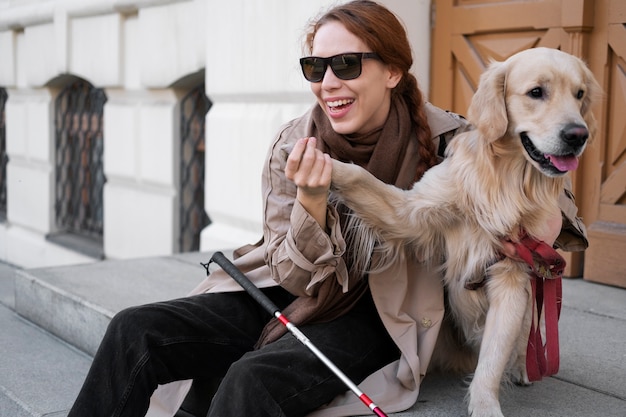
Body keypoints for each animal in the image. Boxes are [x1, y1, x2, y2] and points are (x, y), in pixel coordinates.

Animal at [330, 47, 596, 414]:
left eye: (579, 94)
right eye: (536, 92)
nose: (578, 135)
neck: (506, 180)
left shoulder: (512, 275)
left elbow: (493, 357)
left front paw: (485, 403)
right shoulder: (411, 211)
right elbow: (359, 176)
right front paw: (318, 162)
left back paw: (522, 368)